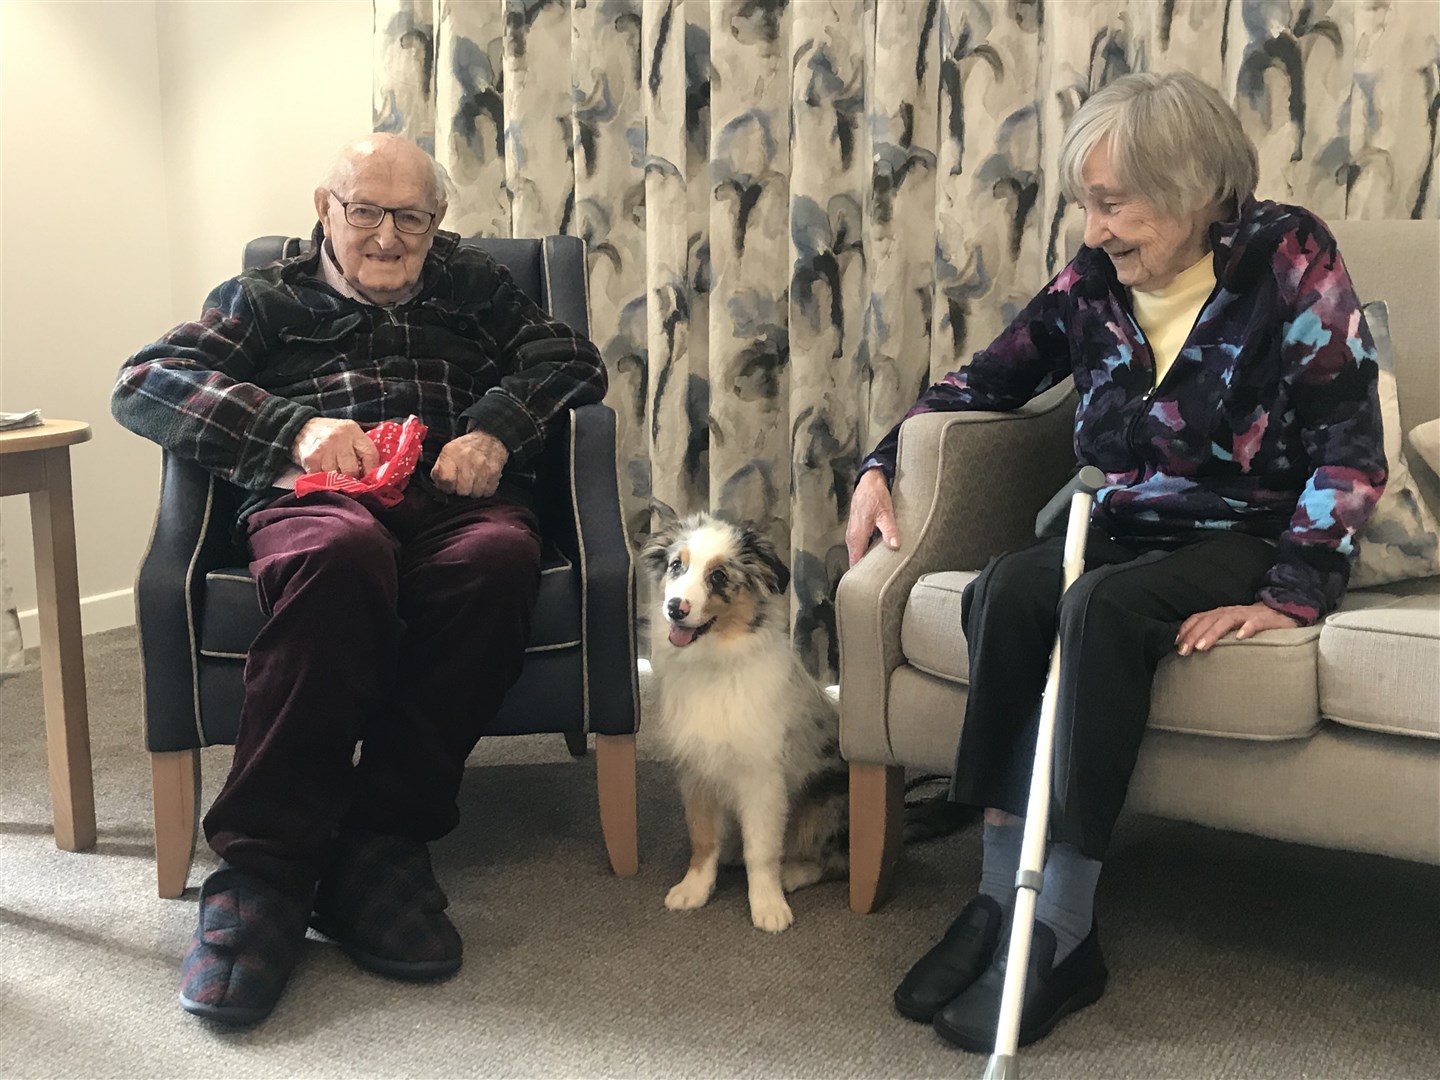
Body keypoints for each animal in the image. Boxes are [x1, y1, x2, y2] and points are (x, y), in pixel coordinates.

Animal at [642, 512, 840, 933]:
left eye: (718, 576)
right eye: (676, 565)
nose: (675, 608)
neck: (716, 665)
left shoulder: (762, 778)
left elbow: (762, 850)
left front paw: (768, 906)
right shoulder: (697, 770)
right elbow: (702, 838)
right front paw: (694, 889)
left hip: (824, 799)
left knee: (833, 858)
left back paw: (792, 873)